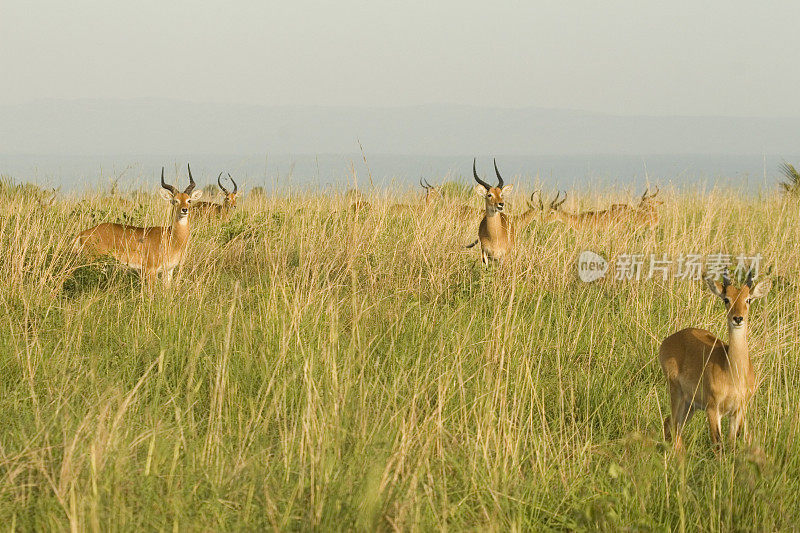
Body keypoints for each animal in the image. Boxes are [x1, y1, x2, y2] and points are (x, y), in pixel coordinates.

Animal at [72, 165, 203, 286]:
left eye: (189, 200)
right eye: (175, 200)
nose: (184, 210)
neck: (171, 237)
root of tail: (83, 233)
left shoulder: (168, 271)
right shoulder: (151, 270)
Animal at [660, 270, 772, 448]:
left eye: (748, 299)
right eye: (727, 299)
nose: (738, 318)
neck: (733, 372)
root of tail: (668, 340)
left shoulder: (738, 411)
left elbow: (732, 444)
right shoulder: (713, 408)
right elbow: (718, 445)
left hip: (690, 405)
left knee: (670, 424)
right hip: (677, 393)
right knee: (674, 427)